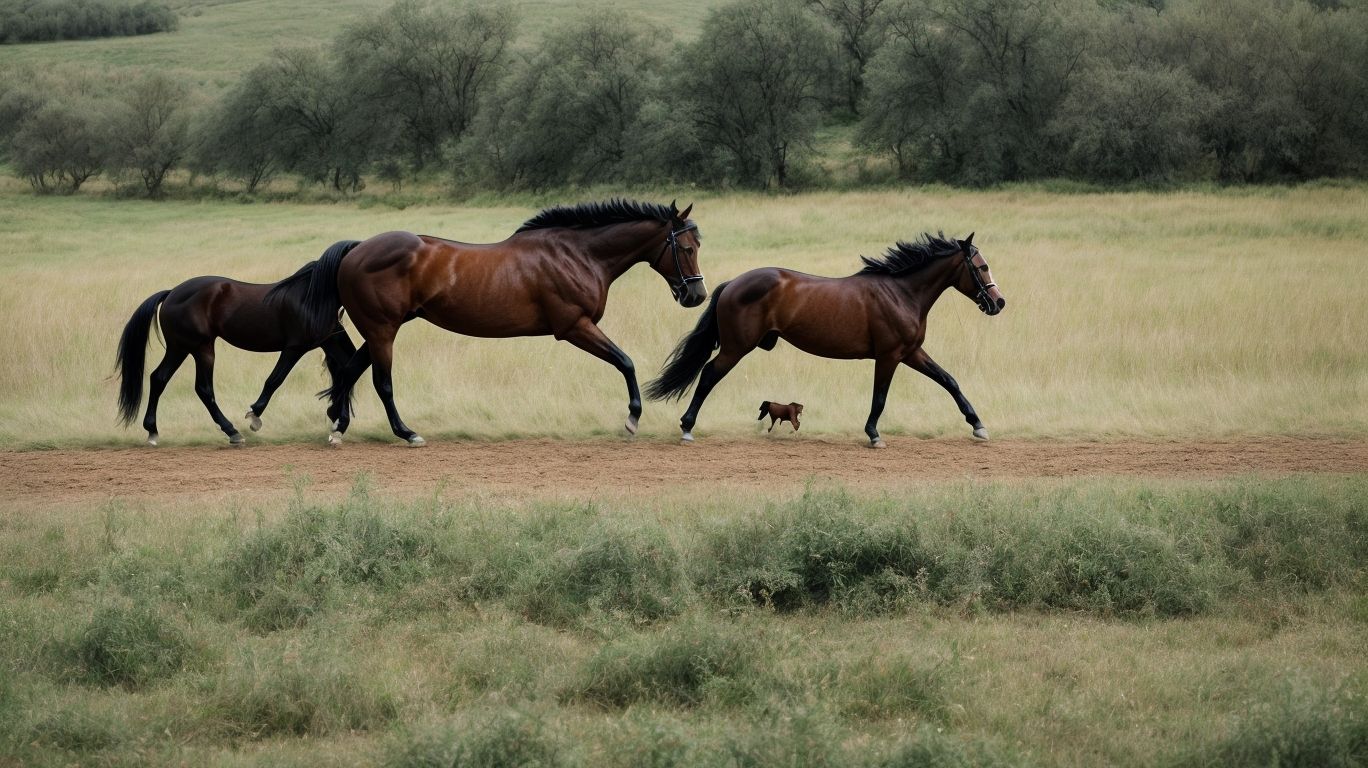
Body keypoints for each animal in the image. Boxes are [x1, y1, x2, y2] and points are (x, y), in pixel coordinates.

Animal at [114, 241, 361, 446]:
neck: (312, 297)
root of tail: (171, 293)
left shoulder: (329, 342)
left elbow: (347, 372)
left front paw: (337, 419)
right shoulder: (294, 347)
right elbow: (275, 380)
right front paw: (254, 416)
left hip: (180, 348)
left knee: (159, 378)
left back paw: (153, 431)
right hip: (199, 348)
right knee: (202, 388)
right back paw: (232, 432)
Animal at [273, 199, 707, 446]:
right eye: (686, 248)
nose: (697, 295)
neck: (578, 253)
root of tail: (357, 249)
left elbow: (624, 361)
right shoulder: (575, 327)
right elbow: (626, 361)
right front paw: (633, 418)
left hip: (379, 329)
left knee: (350, 371)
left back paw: (338, 425)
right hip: (383, 330)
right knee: (382, 383)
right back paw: (407, 433)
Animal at [645, 232, 1005, 448]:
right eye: (981, 267)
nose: (998, 302)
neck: (901, 293)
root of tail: (733, 283)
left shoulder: (912, 352)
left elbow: (949, 381)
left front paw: (978, 426)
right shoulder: (889, 356)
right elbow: (880, 398)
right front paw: (873, 435)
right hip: (736, 348)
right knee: (708, 374)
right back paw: (687, 427)